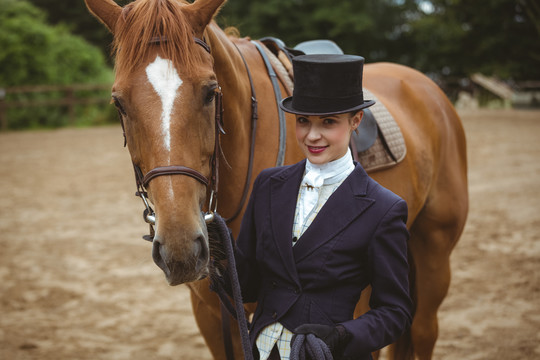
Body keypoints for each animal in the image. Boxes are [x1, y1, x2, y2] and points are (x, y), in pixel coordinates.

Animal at [85, 0, 468, 358]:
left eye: (210, 91)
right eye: (119, 103)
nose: (180, 247)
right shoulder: (213, 317)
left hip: (432, 254)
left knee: (422, 330)